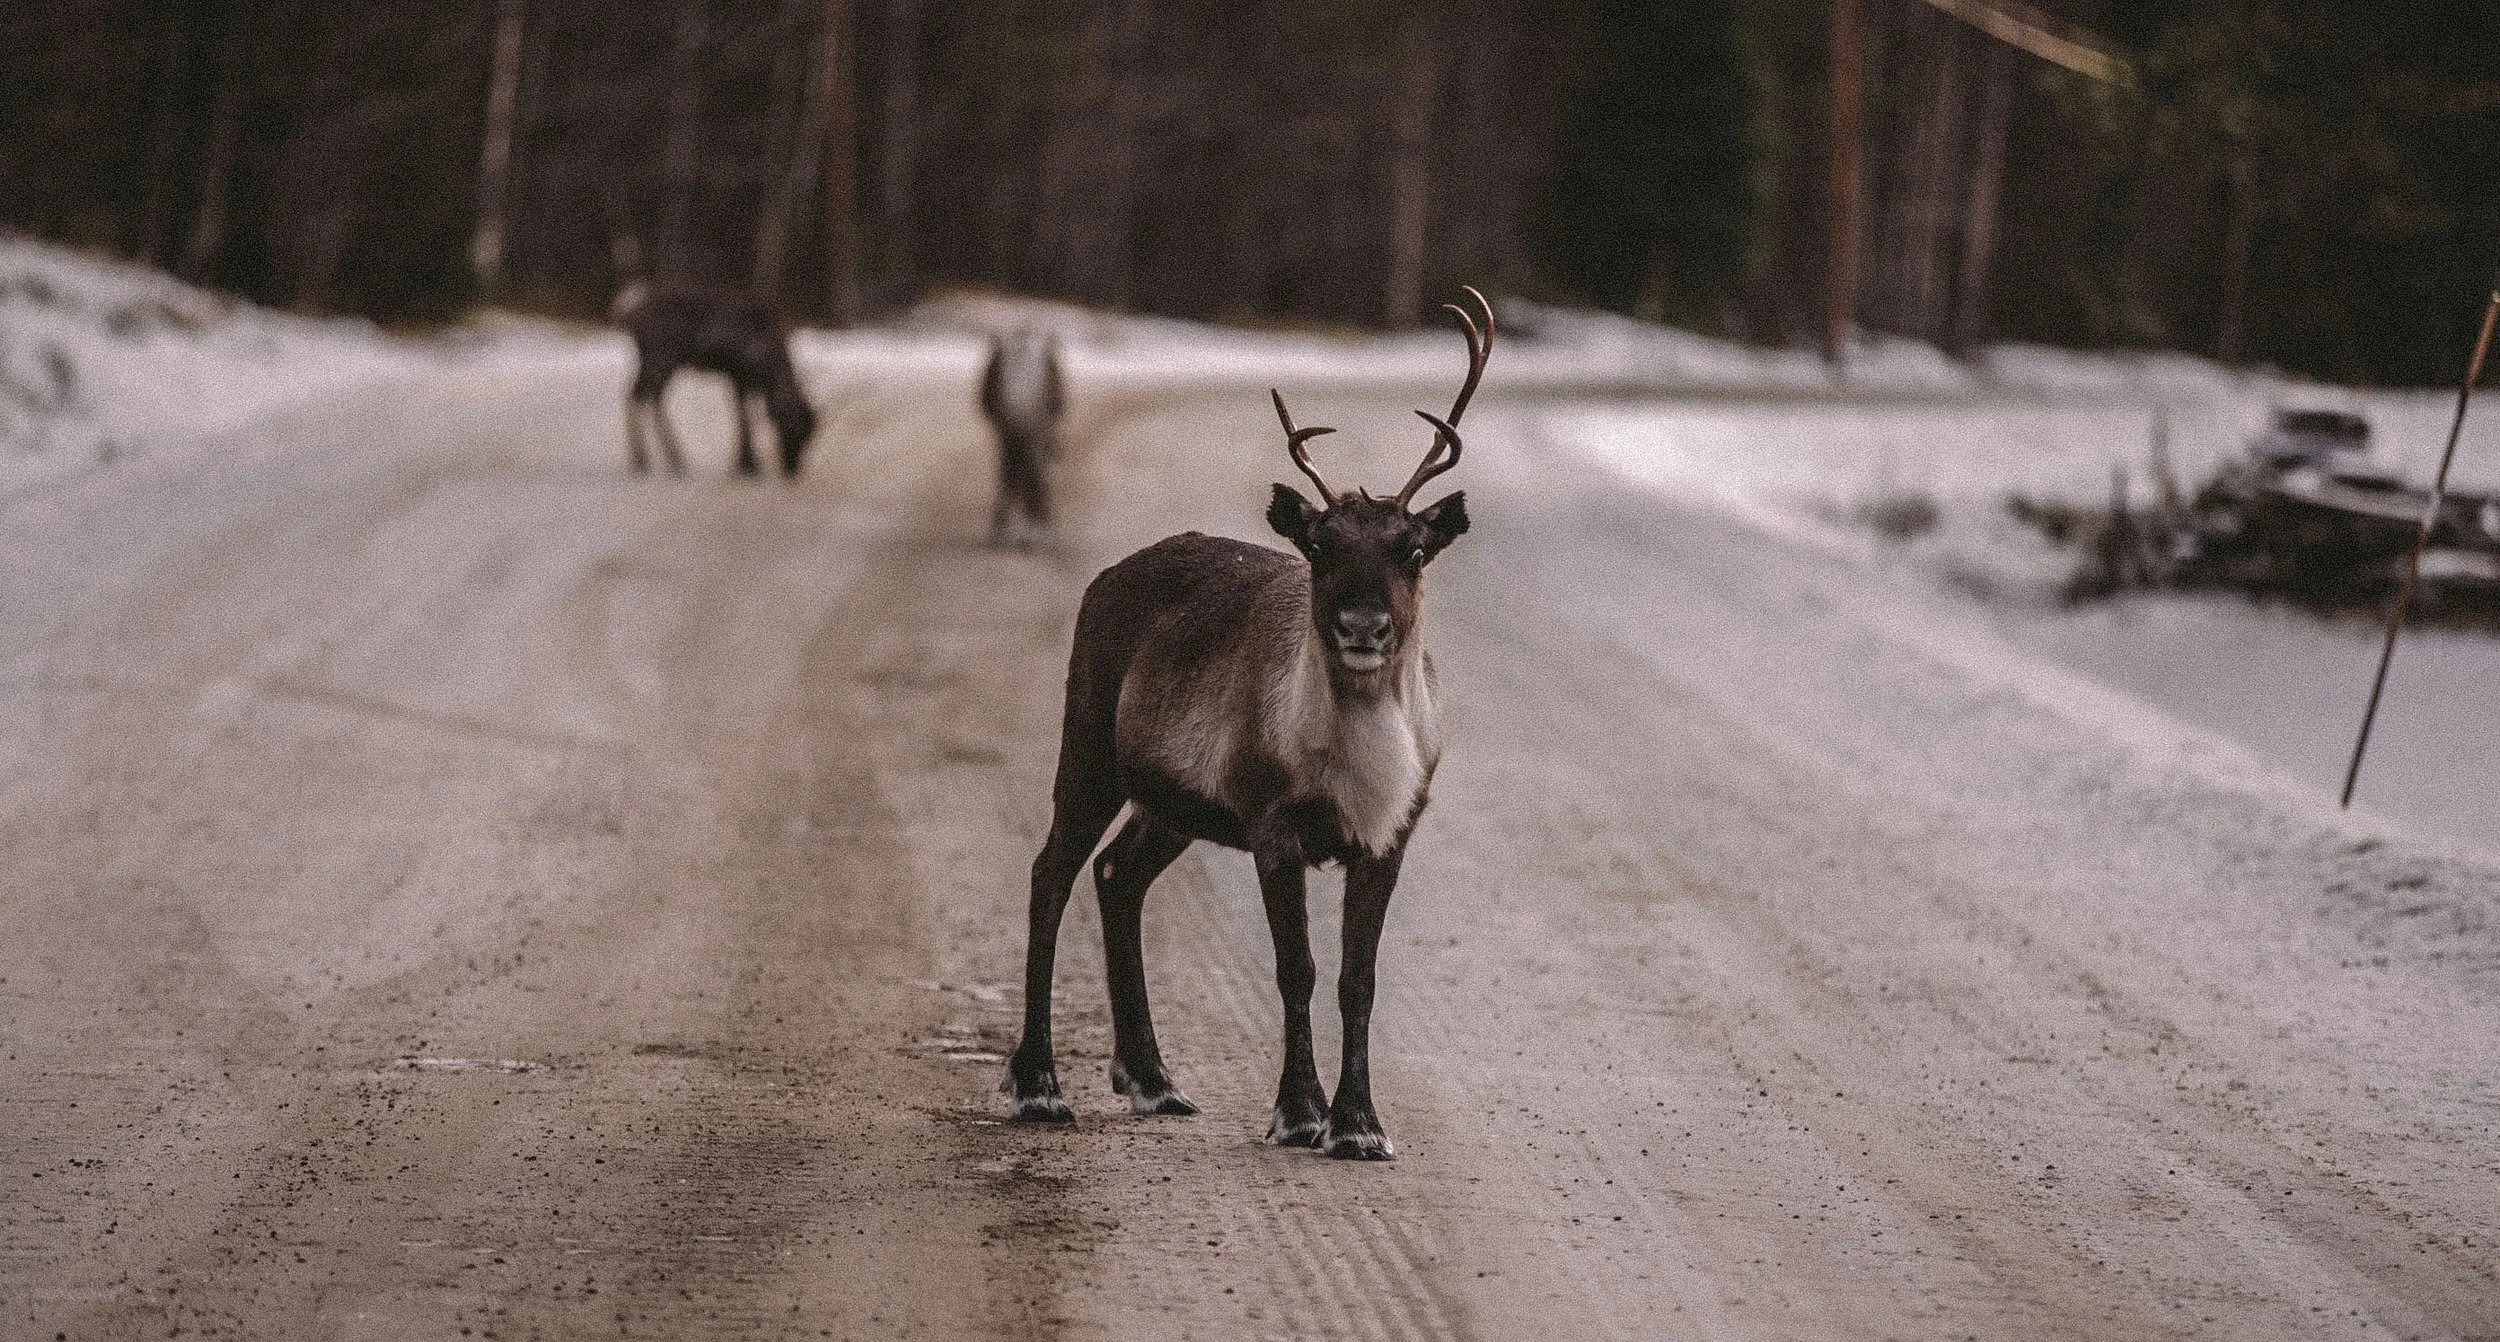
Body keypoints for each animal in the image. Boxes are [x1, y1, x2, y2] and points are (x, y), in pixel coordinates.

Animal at [1002, 288, 1489, 1161]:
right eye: (1320, 547)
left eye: (1412, 550)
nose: (1362, 626)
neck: (1359, 758)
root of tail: (1106, 576)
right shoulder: (1272, 821)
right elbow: (1296, 970)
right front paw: (1300, 1113)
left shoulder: (1392, 833)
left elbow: (1358, 980)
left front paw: (1361, 1126)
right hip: (1087, 746)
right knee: (1050, 873)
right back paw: (1039, 1087)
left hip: (1172, 804)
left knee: (1117, 875)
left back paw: (1154, 1081)